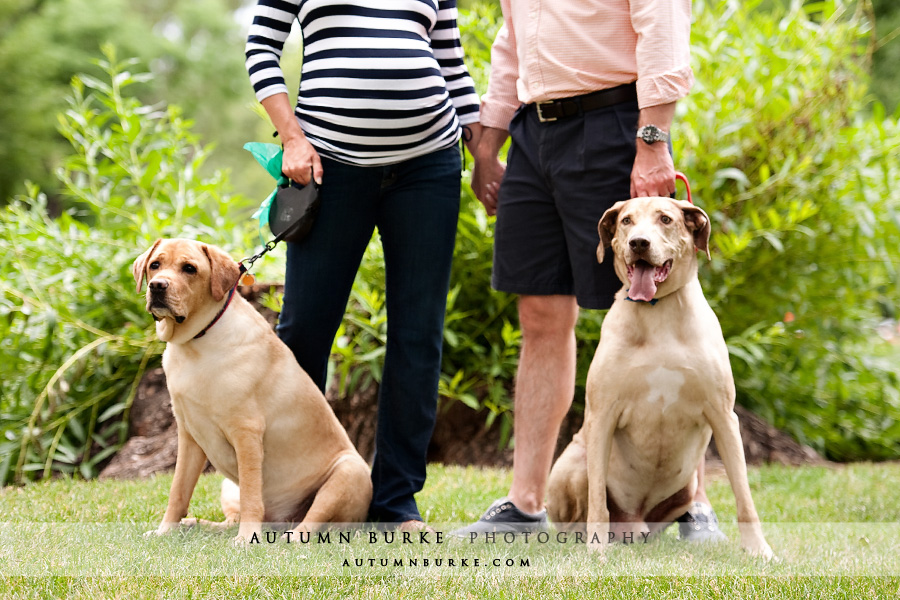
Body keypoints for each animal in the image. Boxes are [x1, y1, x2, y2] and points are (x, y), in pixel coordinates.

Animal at [134, 239, 372, 544]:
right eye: (155, 265)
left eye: (189, 268)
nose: (157, 286)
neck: (196, 342)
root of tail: (281, 521)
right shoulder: (189, 435)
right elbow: (178, 491)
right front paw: (165, 530)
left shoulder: (246, 432)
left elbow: (251, 494)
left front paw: (247, 538)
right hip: (227, 485)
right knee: (229, 520)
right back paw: (197, 524)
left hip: (349, 471)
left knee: (312, 522)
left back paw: (290, 537)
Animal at [548, 197, 772, 556]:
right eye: (626, 221)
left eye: (665, 219)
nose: (639, 243)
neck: (658, 313)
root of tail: (633, 523)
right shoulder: (602, 413)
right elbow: (597, 499)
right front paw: (596, 551)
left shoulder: (724, 416)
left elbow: (744, 496)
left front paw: (759, 550)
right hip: (571, 465)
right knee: (581, 511)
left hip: (689, 485)